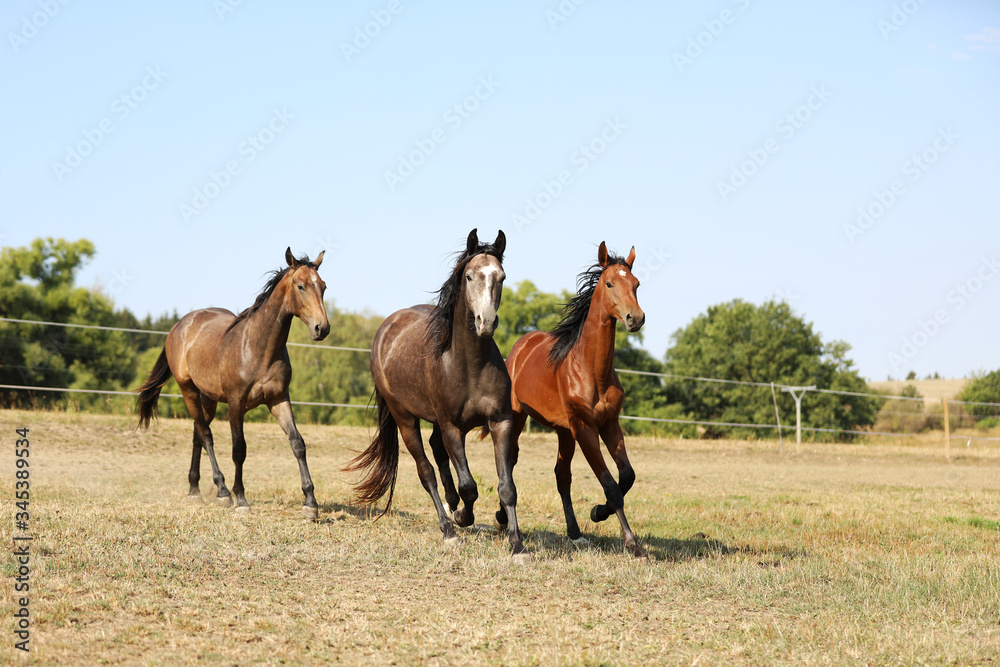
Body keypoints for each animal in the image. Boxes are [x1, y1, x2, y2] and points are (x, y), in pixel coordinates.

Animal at [135, 248, 330, 520]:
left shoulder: (279, 400)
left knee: (198, 434)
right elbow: (239, 449)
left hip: (208, 398)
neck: (258, 347)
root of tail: (179, 326)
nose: (322, 328)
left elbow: (297, 443)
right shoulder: (236, 404)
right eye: (300, 286)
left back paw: (194, 489)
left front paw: (310, 503)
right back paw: (222, 491)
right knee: (206, 435)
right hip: (189, 391)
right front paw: (241, 499)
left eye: (323, 286)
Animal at [346, 230, 528, 560]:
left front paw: (517, 545)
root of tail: (386, 329)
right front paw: (462, 518)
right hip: (405, 418)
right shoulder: (452, 426)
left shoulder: (501, 422)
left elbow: (507, 487)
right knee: (426, 469)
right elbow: (469, 485)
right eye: (469, 276)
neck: (468, 364)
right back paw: (448, 528)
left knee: (437, 453)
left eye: (502, 277)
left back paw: (451, 505)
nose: (486, 322)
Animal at [508, 241, 648, 560]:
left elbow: (627, 477)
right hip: (517, 417)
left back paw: (574, 533)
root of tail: (520, 346)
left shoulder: (610, 425)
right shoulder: (585, 428)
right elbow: (611, 485)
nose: (636, 319)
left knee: (562, 476)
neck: (591, 371)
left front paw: (598, 512)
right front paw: (633, 544)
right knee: (510, 461)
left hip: (563, 432)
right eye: (609, 283)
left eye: (636, 284)